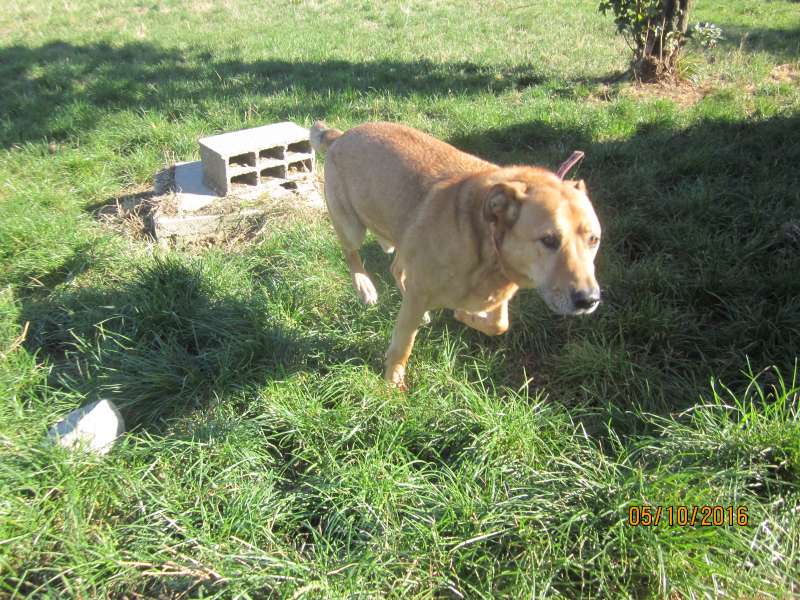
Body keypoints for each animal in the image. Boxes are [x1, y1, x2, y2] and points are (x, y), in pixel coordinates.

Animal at [310, 122, 600, 390]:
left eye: (594, 240)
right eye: (549, 240)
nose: (589, 300)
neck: (485, 243)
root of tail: (341, 134)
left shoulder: (496, 292)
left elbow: (499, 323)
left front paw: (466, 315)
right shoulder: (421, 293)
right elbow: (403, 344)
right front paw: (392, 382)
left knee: (396, 269)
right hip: (353, 229)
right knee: (351, 254)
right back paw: (365, 287)